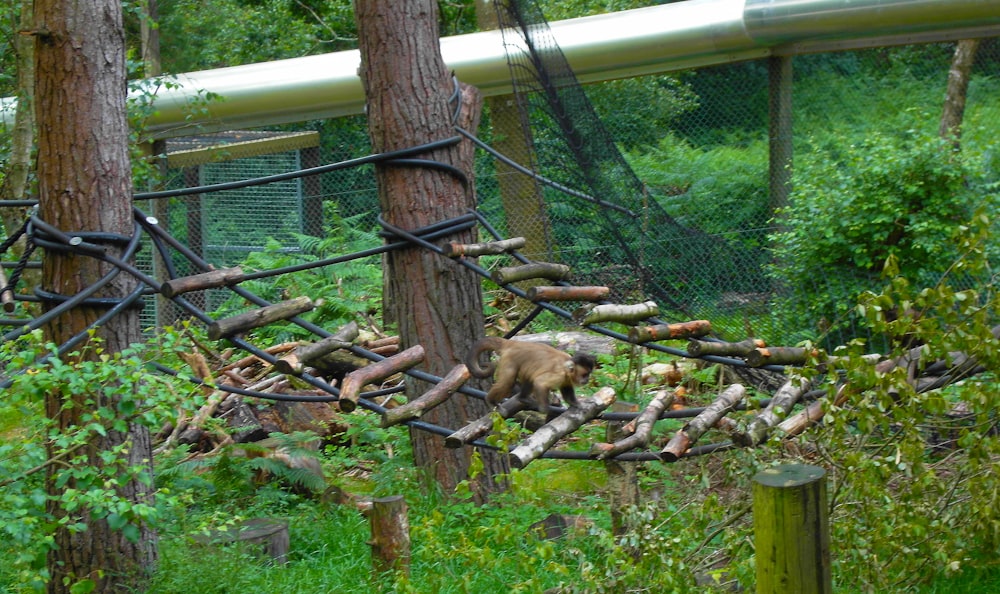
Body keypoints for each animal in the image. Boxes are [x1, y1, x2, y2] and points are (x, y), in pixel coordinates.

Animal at [466, 336, 596, 418]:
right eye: (585, 374)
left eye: (589, 374)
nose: (587, 380)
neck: (567, 369)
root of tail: (512, 343)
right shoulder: (559, 375)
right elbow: (540, 382)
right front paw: (545, 409)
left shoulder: (566, 379)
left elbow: (567, 392)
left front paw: (577, 404)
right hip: (510, 358)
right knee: (508, 381)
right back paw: (490, 401)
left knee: (529, 377)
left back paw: (523, 398)